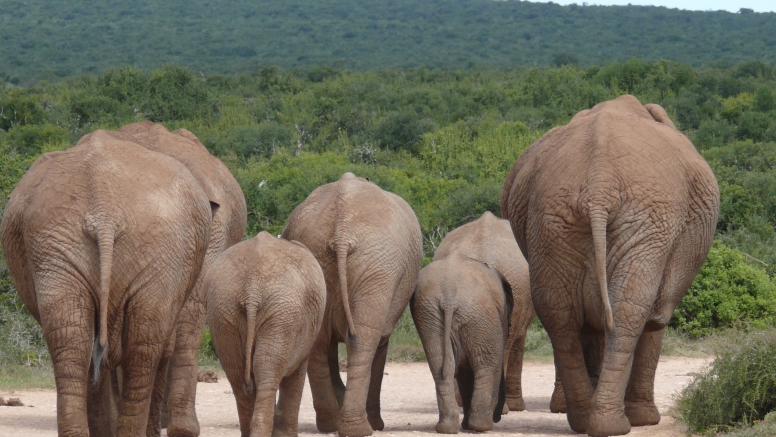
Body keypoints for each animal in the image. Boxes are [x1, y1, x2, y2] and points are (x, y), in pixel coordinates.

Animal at [204, 232, 326, 437]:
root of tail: (252, 288)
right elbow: (297, 373)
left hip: (223, 309)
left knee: (237, 374)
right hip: (281, 312)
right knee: (266, 372)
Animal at [281, 172, 422, 437]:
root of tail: (341, 231)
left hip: (322, 257)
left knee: (320, 340)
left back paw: (330, 425)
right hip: (378, 268)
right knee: (365, 339)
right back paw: (361, 428)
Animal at [410, 252, 512, 433]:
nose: (499, 417)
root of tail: (448, 296)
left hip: (430, 313)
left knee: (440, 365)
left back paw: (447, 428)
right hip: (478, 312)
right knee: (487, 363)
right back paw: (481, 426)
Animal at [501, 95, 719, 436]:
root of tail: (598, 184)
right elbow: (655, 317)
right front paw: (646, 421)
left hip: (551, 221)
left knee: (560, 312)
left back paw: (586, 421)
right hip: (648, 220)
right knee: (631, 309)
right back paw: (617, 424)